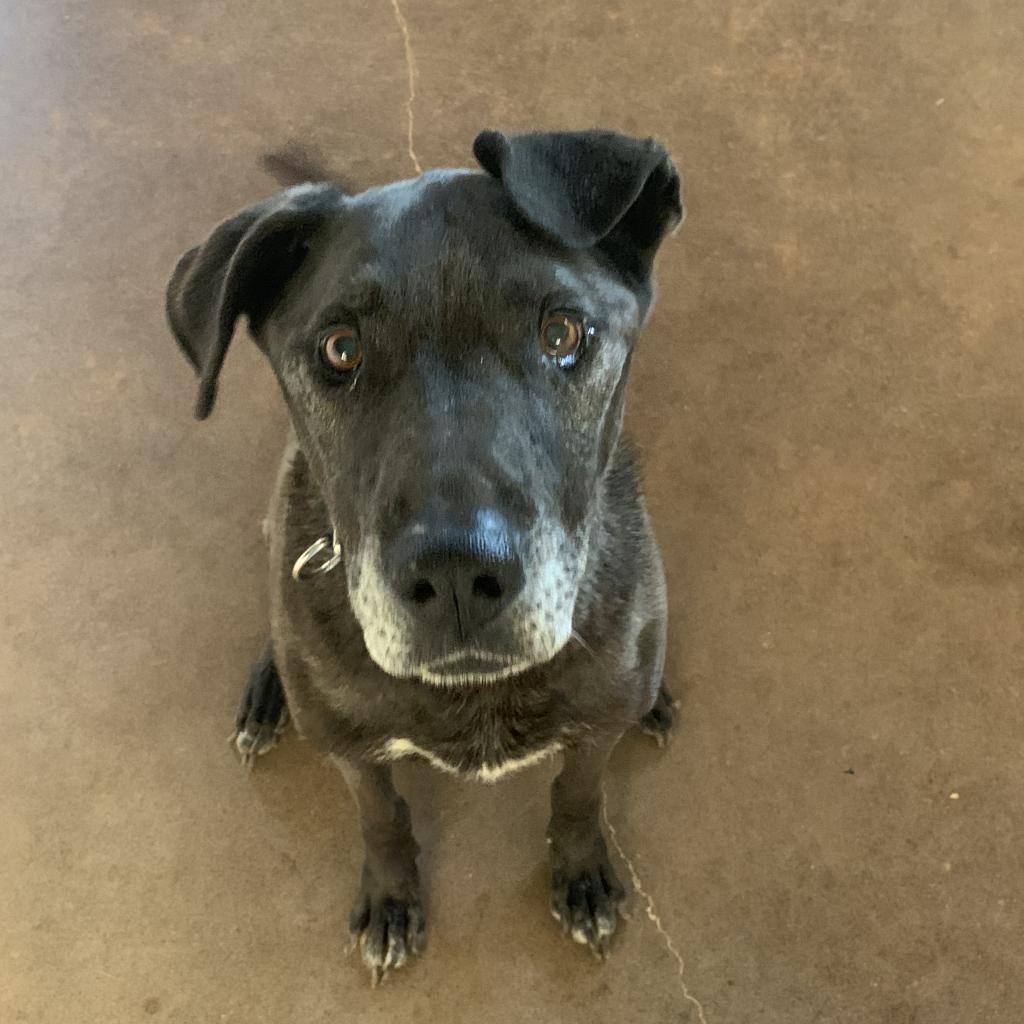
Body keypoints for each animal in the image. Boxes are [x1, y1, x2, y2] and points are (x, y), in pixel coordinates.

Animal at [163, 130, 684, 983]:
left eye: (562, 334)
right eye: (340, 349)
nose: (456, 576)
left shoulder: (596, 725)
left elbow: (580, 794)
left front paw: (580, 873)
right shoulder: (355, 753)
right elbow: (380, 815)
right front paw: (390, 897)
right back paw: (269, 696)